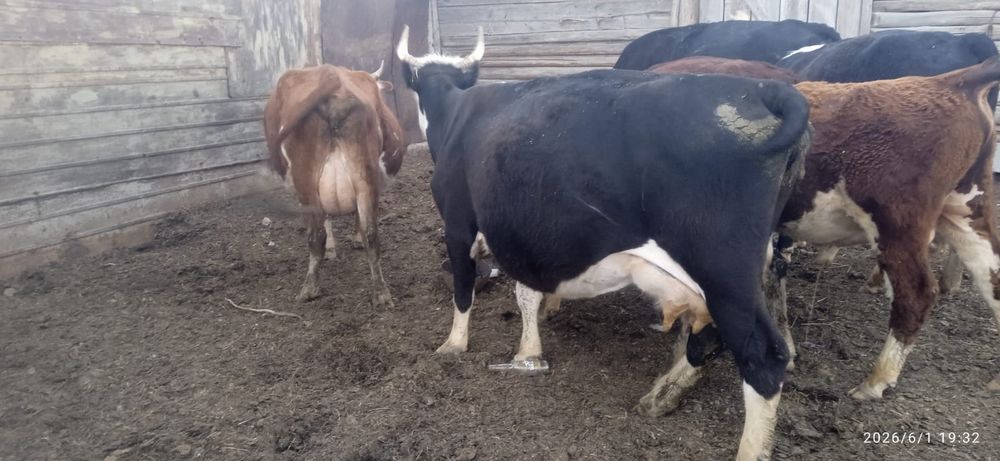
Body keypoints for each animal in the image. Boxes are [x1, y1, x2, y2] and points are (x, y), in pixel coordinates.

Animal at [263, 63, 407, 306]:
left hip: (312, 180)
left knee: (319, 235)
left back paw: (311, 287)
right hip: (359, 176)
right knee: (369, 234)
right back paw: (380, 293)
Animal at [396, 25, 813, 460]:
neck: (455, 113)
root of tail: (764, 91)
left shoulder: (457, 222)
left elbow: (464, 288)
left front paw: (454, 344)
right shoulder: (525, 233)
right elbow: (526, 293)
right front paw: (531, 345)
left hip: (723, 271)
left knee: (762, 355)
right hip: (745, 265)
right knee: (717, 335)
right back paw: (663, 393)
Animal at [650, 56, 1000, 399]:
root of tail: (952, 81)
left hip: (898, 225)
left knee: (917, 293)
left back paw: (876, 380)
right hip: (965, 210)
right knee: (991, 273)